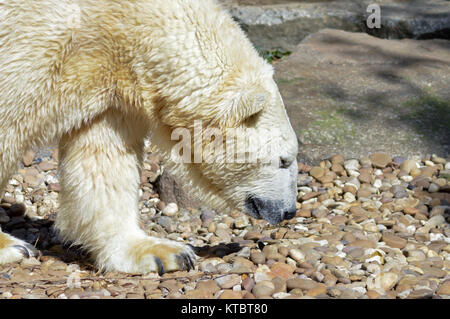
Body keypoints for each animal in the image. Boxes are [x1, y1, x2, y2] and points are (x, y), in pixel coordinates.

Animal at [0, 0, 298, 276]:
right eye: (284, 160)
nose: (289, 211)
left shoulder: (108, 88)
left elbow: (103, 161)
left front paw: (161, 253)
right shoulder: (32, 45)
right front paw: (11, 247)